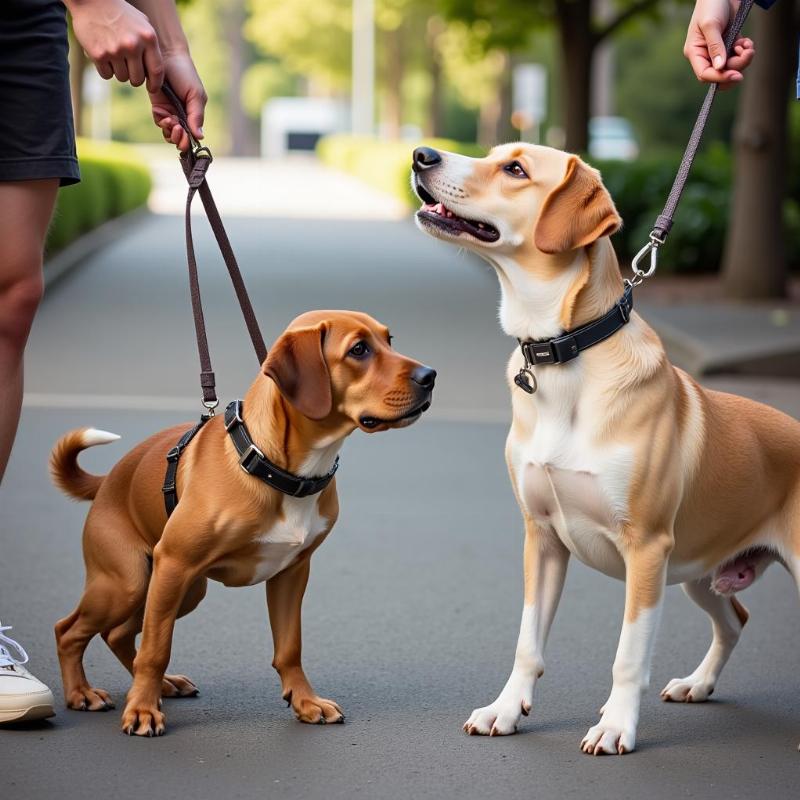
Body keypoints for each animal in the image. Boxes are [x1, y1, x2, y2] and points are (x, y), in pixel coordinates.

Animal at [52, 310, 434, 736]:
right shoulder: (176, 563)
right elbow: (156, 648)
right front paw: (142, 711)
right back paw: (84, 693)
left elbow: (289, 647)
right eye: (359, 350)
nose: (430, 376)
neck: (274, 466)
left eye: (389, 340)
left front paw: (305, 701)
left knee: (119, 633)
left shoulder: (291, 572)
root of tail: (108, 480)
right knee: (70, 630)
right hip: (130, 583)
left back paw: (161, 685)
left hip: (183, 590)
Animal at [412, 141, 800, 752]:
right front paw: (505, 710)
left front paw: (616, 726)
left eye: (515, 169)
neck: (566, 354)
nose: (421, 154)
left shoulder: (646, 550)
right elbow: (527, 642)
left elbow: (627, 656)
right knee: (735, 618)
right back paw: (697, 684)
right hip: (701, 574)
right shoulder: (542, 538)